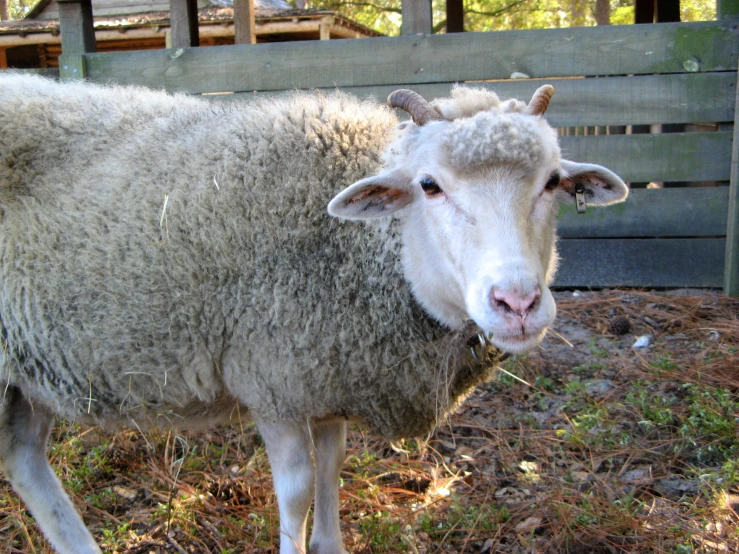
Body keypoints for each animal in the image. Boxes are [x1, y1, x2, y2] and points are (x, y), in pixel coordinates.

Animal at [0, 74, 632, 552]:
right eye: (429, 185)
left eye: (553, 181)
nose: (518, 303)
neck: (367, 252)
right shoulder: (271, 378)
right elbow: (299, 490)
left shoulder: (330, 374)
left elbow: (332, 471)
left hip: (27, 369)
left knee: (24, 460)